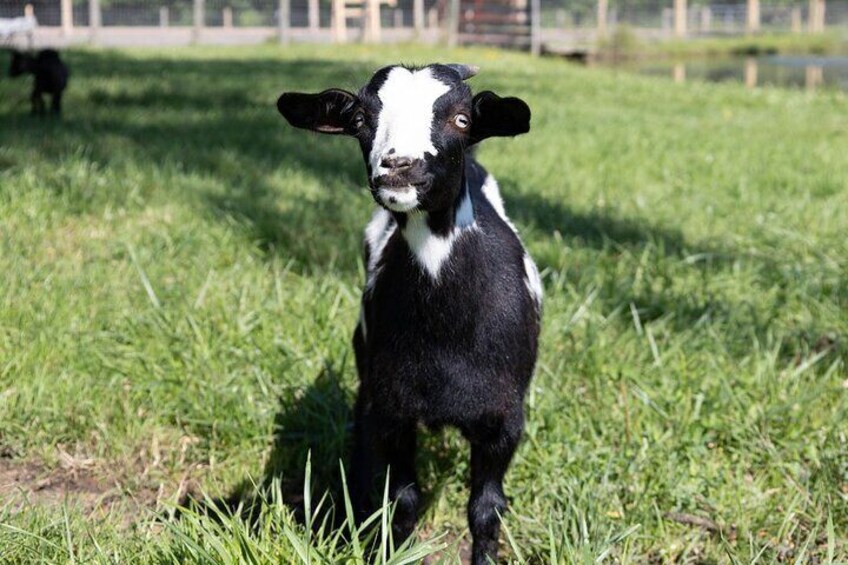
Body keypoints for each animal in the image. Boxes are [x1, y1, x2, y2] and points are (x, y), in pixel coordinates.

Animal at [278, 64, 544, 560]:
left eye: (461, 118)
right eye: (360, 119)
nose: (399, 166)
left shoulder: (503, 419)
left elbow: (487, 509)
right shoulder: (395, 410)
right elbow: (402, 500)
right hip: (366, 357)